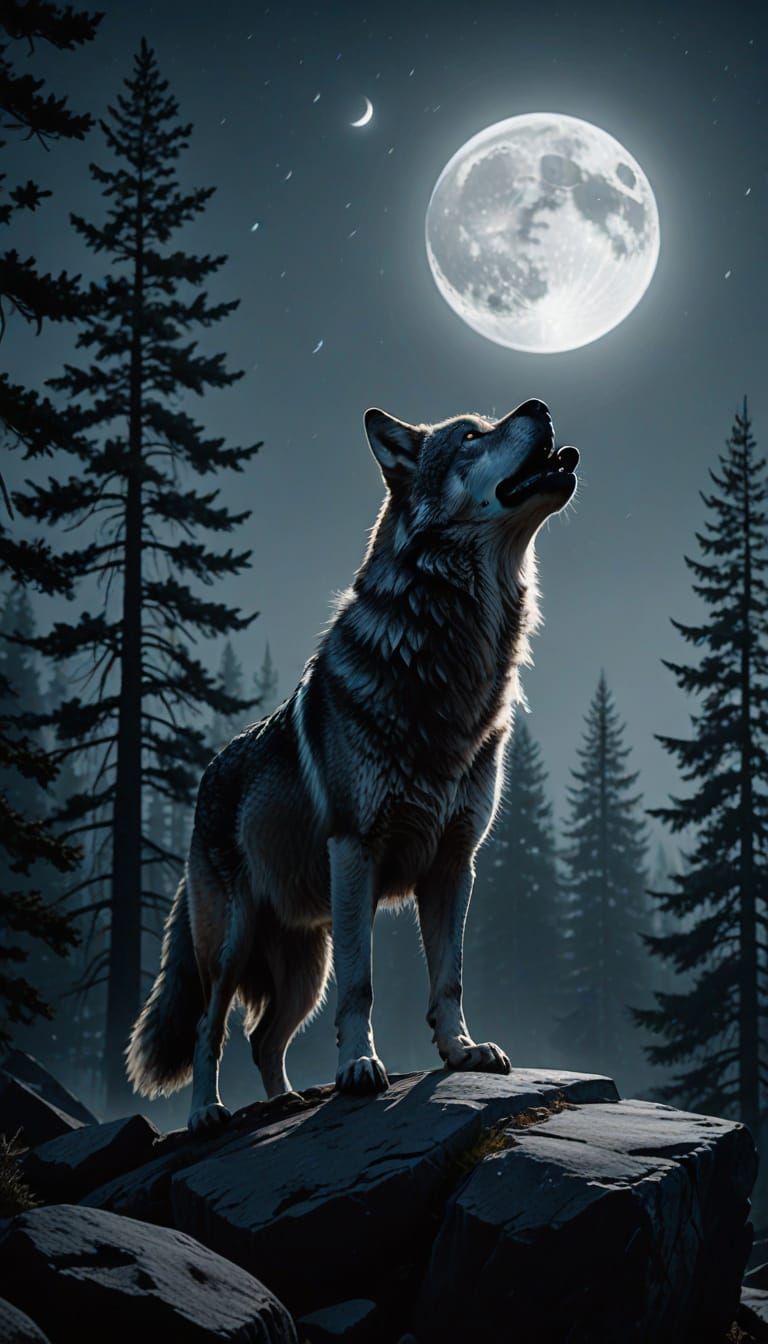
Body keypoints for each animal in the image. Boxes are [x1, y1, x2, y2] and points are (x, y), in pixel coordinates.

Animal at [127, 398, 579, 1133]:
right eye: (471, 436)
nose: (539, 405)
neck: (451, 670)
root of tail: (206, 778)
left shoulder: (455, 860)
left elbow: (449, 975)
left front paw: (461, 1051)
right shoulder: (355, 850)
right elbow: (363, 986)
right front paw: (358, 1069)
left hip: (304, 969)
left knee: (263, 1038)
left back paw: (285, 1101)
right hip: (233, 947)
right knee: (209, 1028)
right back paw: (209, 1113)